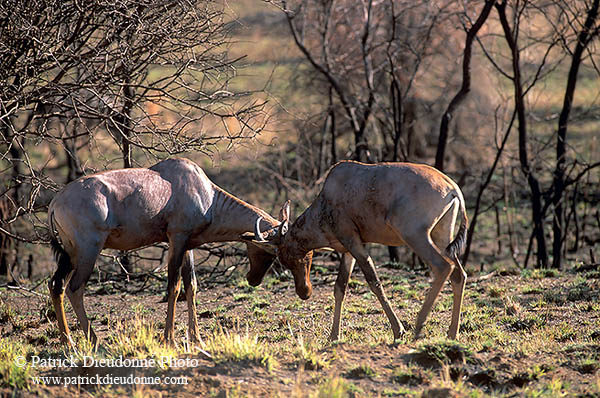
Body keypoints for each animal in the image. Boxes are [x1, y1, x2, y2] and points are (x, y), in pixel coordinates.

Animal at [48, 157, 282, 346]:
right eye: (271, 252)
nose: (253, 280)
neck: (201, 189)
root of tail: (55, 202)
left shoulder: (186, 244)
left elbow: (191, 285)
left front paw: (196, 338)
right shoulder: (176, 238)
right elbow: (174, 287)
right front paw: (169, 339)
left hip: (71, 254)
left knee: (56, 285)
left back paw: (68, 341)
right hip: (89, 250)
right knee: (75, 288)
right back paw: (96, 342)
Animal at [248, 160, 468, 340]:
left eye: (285, 256)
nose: (304, 292)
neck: (330, 194)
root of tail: (452, 188)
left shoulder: (353, 241)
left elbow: (374, 281)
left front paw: (398, 331)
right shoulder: (347, 250)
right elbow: (340, 287)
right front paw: (333, 336)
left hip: (416, 236)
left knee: (443, 267)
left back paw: (418, 327)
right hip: (441, 235)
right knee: (459, 274)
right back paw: (452, 333)